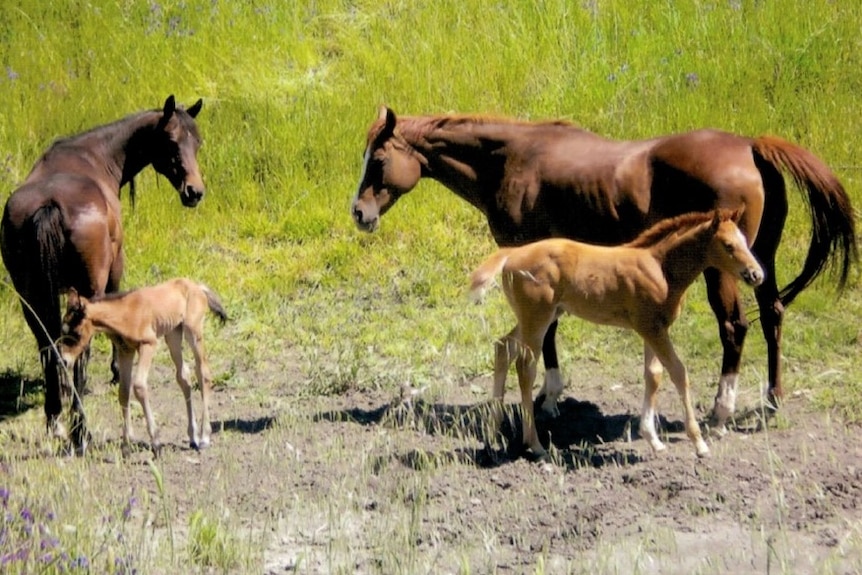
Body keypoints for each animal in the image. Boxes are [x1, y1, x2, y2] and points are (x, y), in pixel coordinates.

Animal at [0, 95, 205, 454]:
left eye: (198, 142)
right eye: (171, 142)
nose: (194, 191)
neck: (95, 156)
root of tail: (49, 206)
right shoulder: (114, 270)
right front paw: (115, 371)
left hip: (30, 298)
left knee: (48, 347)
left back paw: (56, 419)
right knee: (78, 353)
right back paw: (80, 431)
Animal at [352, 107, 856, 432]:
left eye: (379, 160)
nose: (358, 212)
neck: (512, 160)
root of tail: (751, 148)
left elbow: (546, 334)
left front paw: (549, 398)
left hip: (724, 268)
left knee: (735, 327)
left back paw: (720, 409)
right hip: (758, 263)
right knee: (772, 316)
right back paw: (772, 399)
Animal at [472, 210, 764, 460]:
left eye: (744, 241)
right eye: (728, 245)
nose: (756, 274)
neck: (661, 269)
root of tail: (512, 254)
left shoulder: (653, 328)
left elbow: (653, 375)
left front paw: (653, 440)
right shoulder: (652, 328)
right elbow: (679, 373)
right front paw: (699, 443)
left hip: (539, 316)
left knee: (503, 347)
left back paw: (492, 433)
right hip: (538, 318)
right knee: (525, 367)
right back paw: (535, 445)